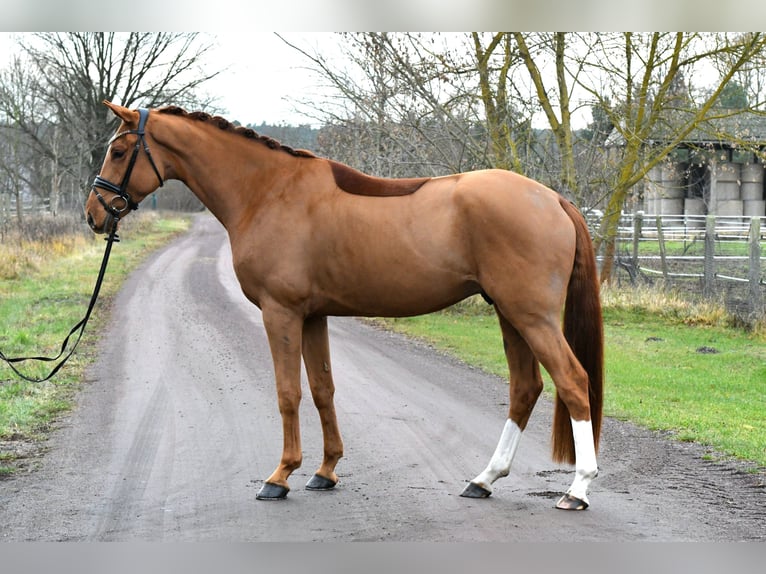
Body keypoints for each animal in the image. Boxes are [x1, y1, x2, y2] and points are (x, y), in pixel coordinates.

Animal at [85, 102, 604, 511]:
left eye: (118, 151)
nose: (93, 214)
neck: (267, 191)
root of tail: (553, 199)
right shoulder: (313, 316)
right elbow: (322, 390)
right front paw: (325, 471)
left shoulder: (281, 313)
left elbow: (288, 393)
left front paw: (280, 477)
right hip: (509, 314)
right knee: (525, 388)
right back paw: (484, 479)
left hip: (531, 316)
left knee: (573, 382)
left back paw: (577, 490)